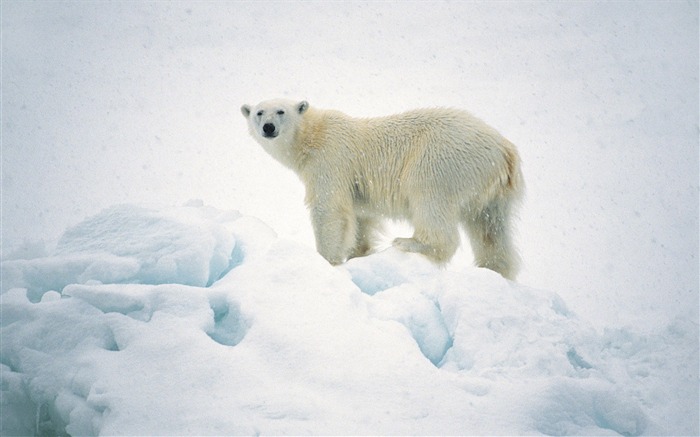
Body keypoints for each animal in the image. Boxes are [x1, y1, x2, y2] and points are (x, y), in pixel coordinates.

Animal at [243, 99, 524, 280]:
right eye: (259, 112)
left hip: (443, 159)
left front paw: (326, 260)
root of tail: (505, 149)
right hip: (492, 190)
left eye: (280, 111)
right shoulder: (356, 187)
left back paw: (410, 242)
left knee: (428, 197)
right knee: (490, 229)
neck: (312, 136)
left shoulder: (329, 160)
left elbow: (329, 210)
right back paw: (494, 269)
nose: (268, 127)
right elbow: (361, 218)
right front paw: (358, 254)